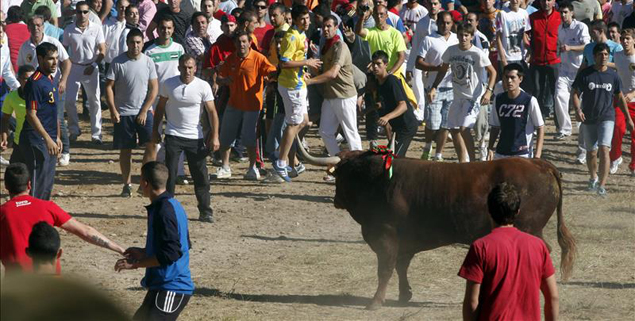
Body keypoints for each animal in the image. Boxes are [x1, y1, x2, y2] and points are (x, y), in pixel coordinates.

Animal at [298, 144, 576, 308]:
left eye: (340, 174)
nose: (336, 200)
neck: (378, 180)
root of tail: (539, 163)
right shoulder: (404, 242)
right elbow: (401, 266)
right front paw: (404, 295)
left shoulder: (386, 235)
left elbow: (385, 269)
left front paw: (376, 302)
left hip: (529, 229)